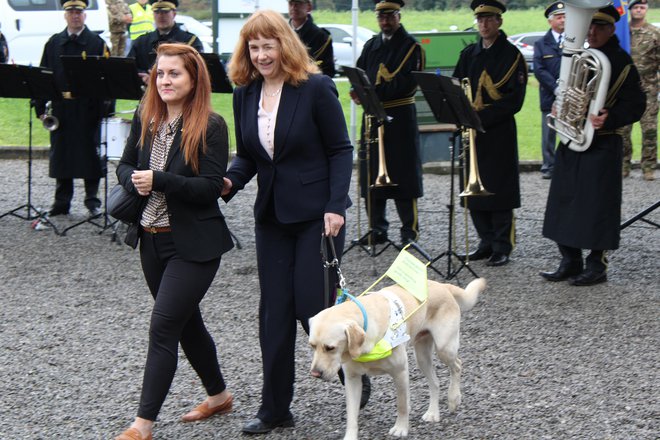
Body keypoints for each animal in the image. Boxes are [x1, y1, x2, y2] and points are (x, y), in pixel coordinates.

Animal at [310, 280, 484, 438]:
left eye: (330, 347)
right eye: (312, 345)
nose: (315, 374)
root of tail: (442, 285)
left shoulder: (400, 372)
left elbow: (401, 405)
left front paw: (400, 428)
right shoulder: (352, 380)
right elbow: (351, 416)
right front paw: (350, 437)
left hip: (444, 348)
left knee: (457, 365)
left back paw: (454, 398)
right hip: (422, 357)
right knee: (435, 382)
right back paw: (433, 413)